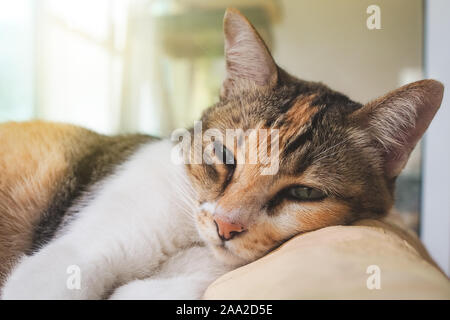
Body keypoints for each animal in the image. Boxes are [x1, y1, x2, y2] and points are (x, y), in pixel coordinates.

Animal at [0, 8, 442, 300]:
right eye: (224, 155)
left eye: (305, 193)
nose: (225, 226)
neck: (189, 241)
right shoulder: (72, 257)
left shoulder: (176, 283)